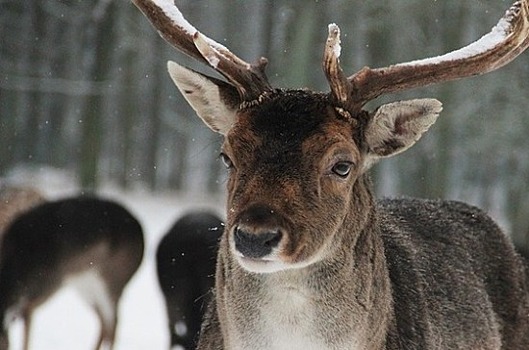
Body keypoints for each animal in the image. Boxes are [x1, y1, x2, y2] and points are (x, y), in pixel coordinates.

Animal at [0, 197, 144, 350]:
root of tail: (141, 231)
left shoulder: (39, 294)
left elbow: (26, 340)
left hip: (112, 281)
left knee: (113, 324)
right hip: (86, 286)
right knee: (103, 323)